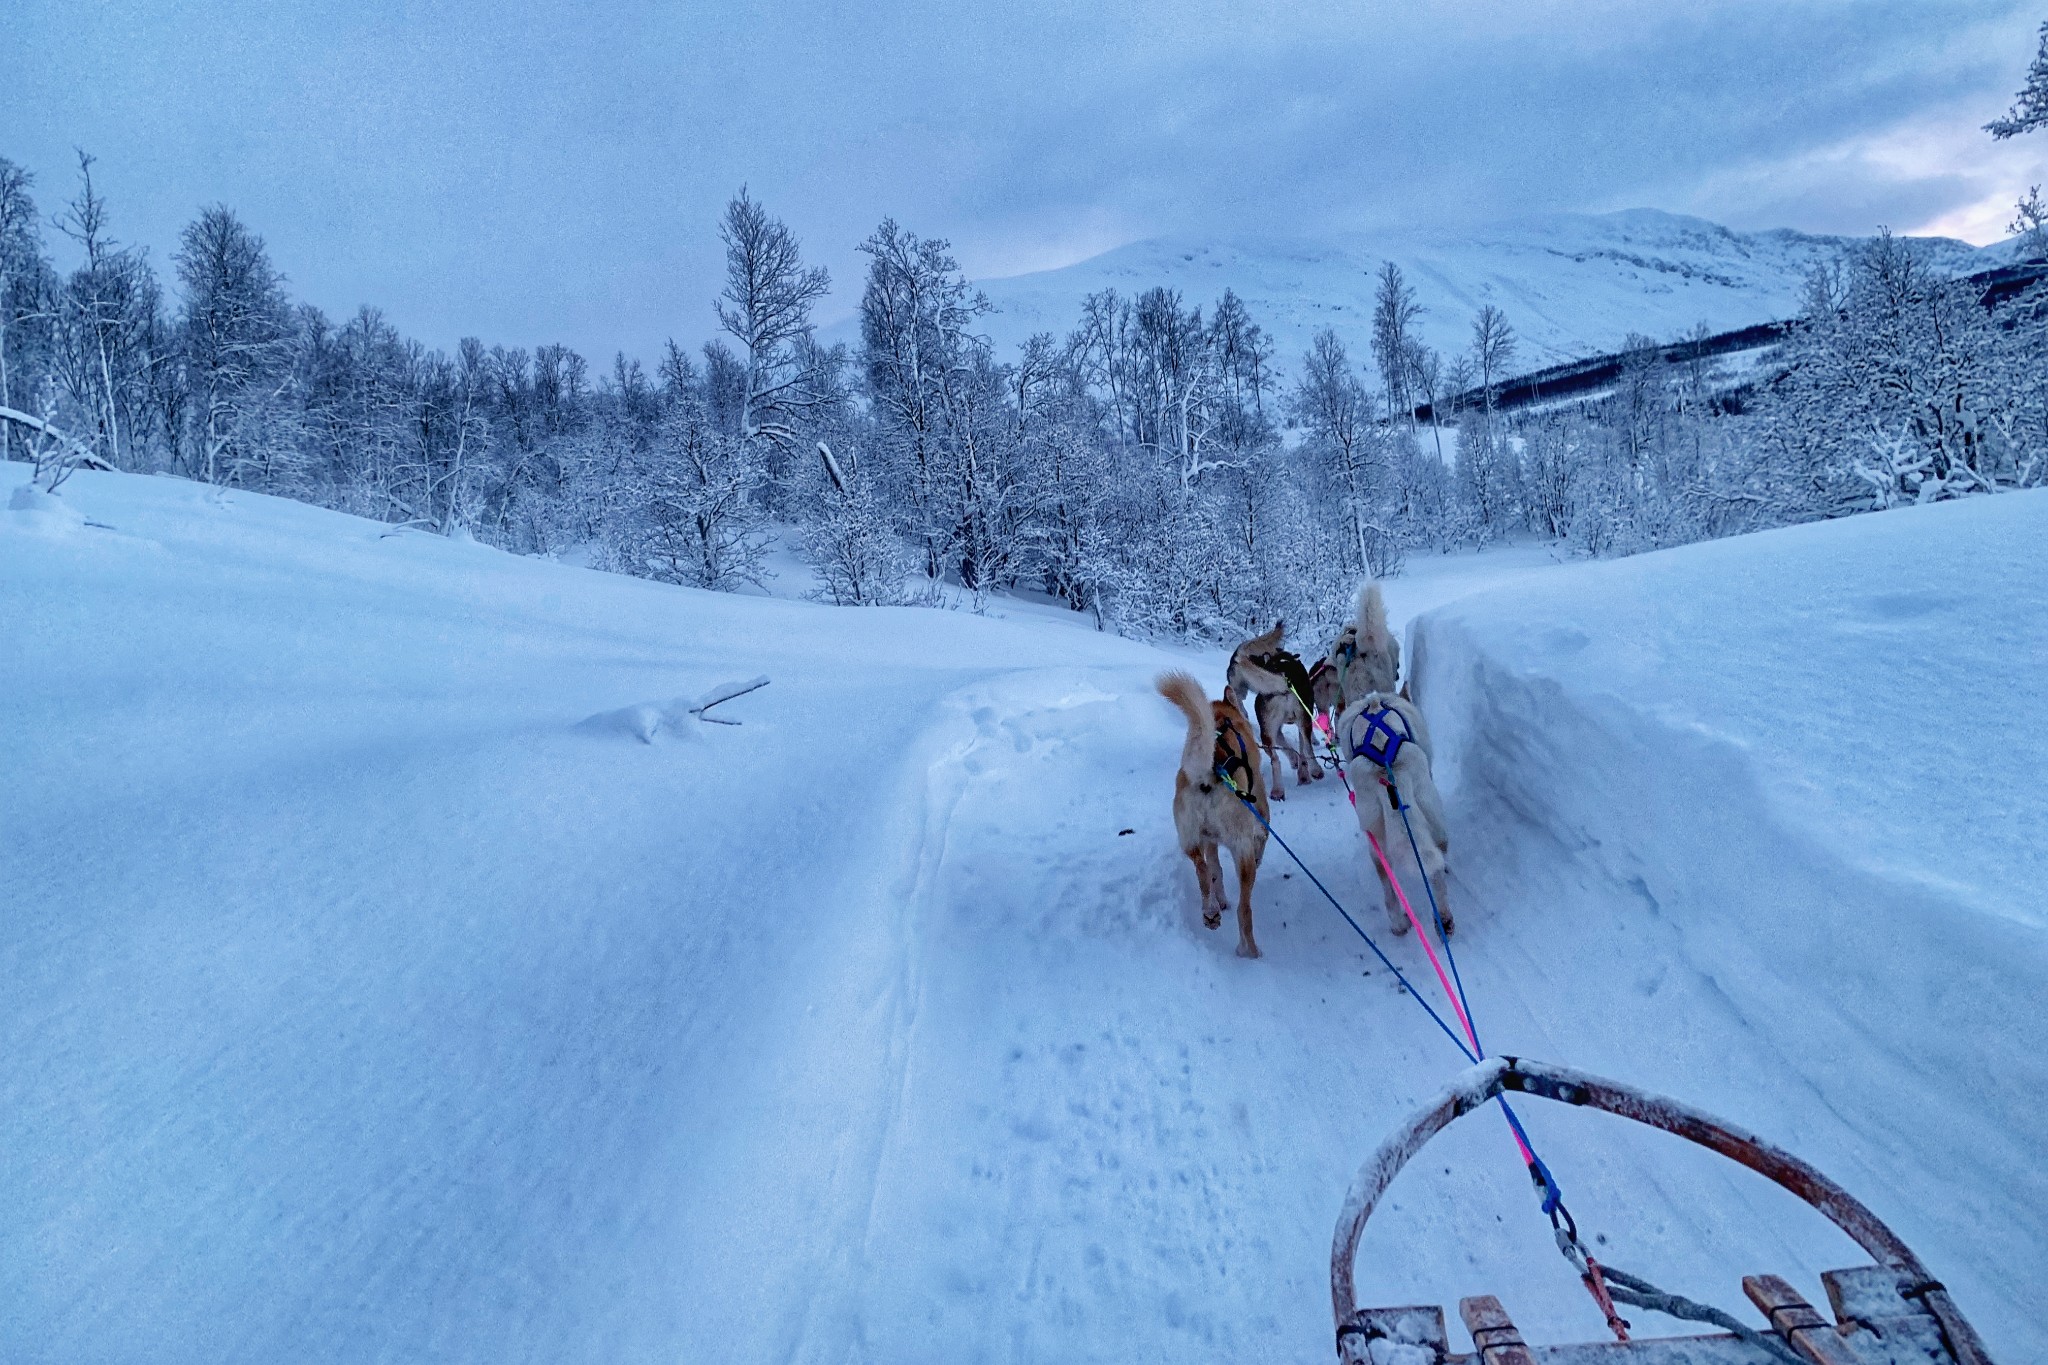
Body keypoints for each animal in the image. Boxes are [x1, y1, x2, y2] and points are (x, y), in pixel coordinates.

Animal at [1163, 671, 1269, 961]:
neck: (1223, 718)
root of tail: (1209, 772)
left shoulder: (1209, 840)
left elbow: (1215, 870)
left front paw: (1219, 899)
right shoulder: (1262, 817)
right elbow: (1262, 838)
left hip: (1190, 838)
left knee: (1203, 870)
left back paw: (1210, 911)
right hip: (1241, 851)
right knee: (1244, 909)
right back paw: (1249, 950)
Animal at [1220, 626, 1318, 806]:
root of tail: (1284, 676)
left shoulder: (1278, 728)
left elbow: (1291, 748)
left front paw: (1298, 768)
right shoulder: (1299, 721)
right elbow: (1300, 749)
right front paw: (1302, 772)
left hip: (1264, 728)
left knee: (1275, 759)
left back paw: (1278, 790)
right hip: (1300, 721)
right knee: (1305, 747)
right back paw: (1316, 770)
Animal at [1335, 695, 1449, 941]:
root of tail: (1386, 769)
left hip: (1375, 836)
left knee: (1389, 889)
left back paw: (1403, 922)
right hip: (1434, 814)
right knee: (1437, 862)